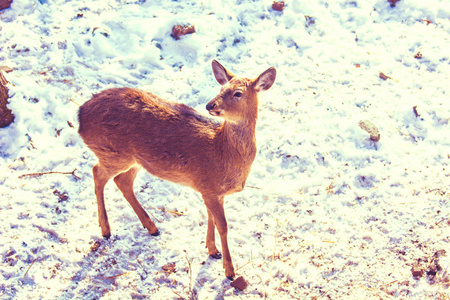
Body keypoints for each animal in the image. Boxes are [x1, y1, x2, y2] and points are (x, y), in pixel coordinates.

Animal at [78, 60, 276, 278]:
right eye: (221, 88)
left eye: (238, 93)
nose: (210, 105)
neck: (223, 152)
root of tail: (80, 116)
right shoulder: (210, 186)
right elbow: (223, 226)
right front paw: (229, 270)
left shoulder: (211, 190)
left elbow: (211, 218)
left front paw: (212, 250)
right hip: (112, 152)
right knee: (97, 173)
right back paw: (106, 230)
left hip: (135, 159)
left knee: (122, 181)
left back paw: (152, 227)